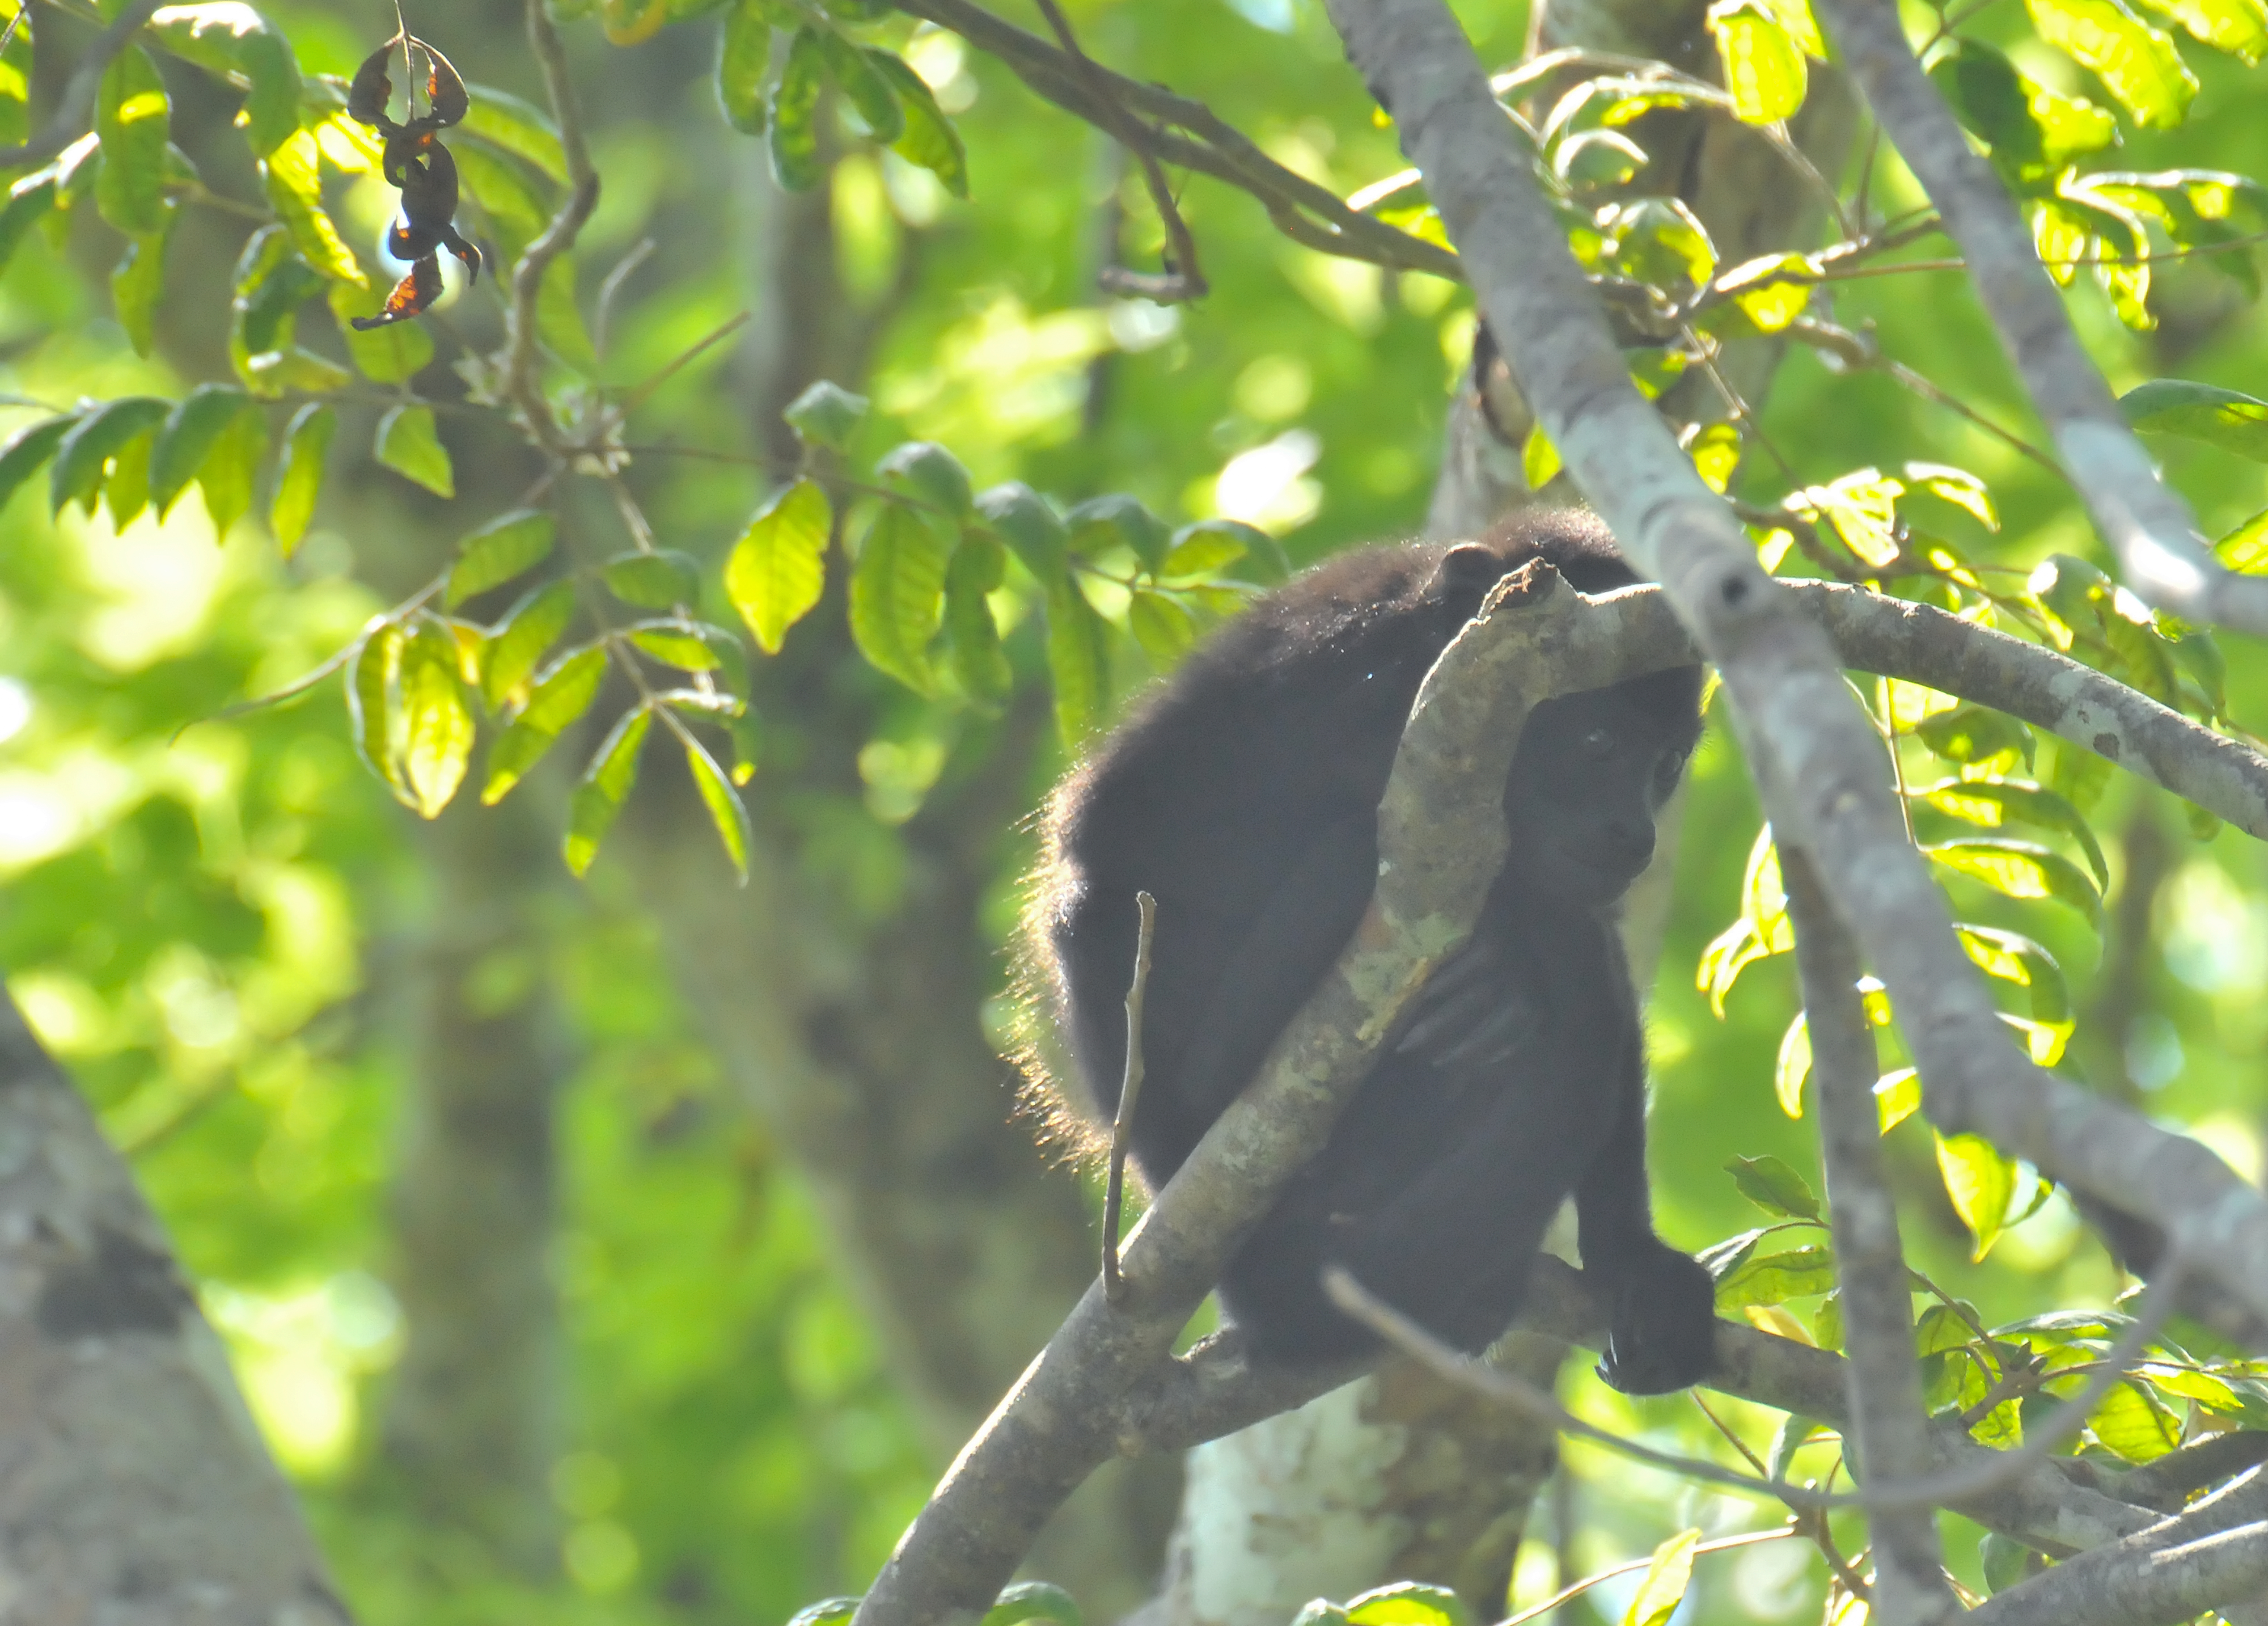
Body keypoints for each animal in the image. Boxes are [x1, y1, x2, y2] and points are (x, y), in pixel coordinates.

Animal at [1034, 510, 1715, 1397]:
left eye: (1665, 764)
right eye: (1598, 739)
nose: (1635, 833)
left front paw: (1634, 1261)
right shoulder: (1329, 678)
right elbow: (1119, 841)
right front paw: (1493, 965)